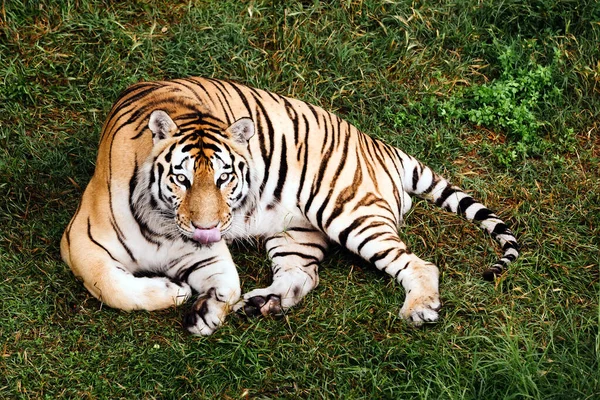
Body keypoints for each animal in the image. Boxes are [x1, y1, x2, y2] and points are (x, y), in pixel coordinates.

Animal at [62, 76, 520, 336]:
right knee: (304, 275)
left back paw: (420, 308)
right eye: (182, 179)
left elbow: (225, 283)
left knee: (420, 264)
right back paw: (265, 303)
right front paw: (183, 298)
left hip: (349, 213)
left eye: (224, 178)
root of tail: (380, 145)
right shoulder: (81, 242)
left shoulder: (203, 251)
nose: (208, 228)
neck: (163, 223)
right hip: (294, 231)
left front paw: (201, 308)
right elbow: (112, 286)